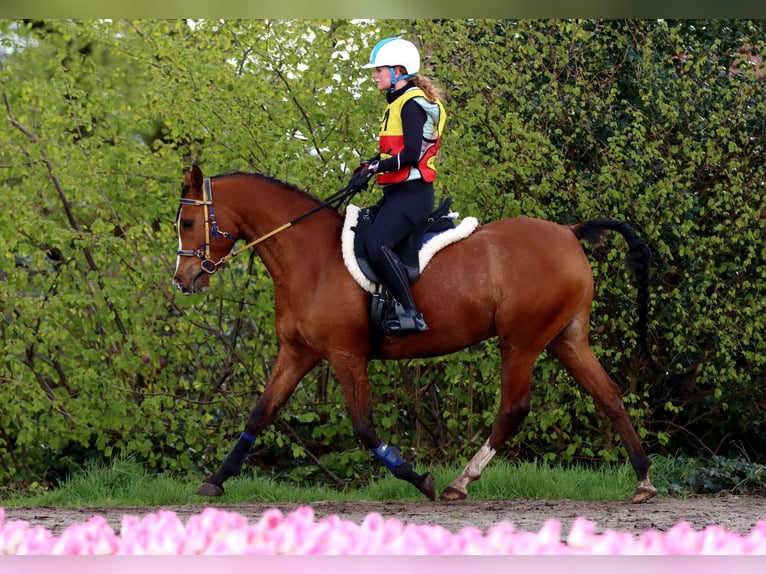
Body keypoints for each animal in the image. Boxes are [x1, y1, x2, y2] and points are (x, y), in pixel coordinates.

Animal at [173, 164, 658, 504]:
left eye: (189, 224)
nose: (183, 279)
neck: (307, 257)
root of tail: (568, 232)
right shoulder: (297, 353)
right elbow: (260, 413)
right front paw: (215, 480)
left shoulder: (345, 355)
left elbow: (365, 428)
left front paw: (419, 479)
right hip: (566, 339)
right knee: (608, 395)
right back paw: (643, 479)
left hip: (521, 341)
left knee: (513, 409)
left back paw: (460, 482)